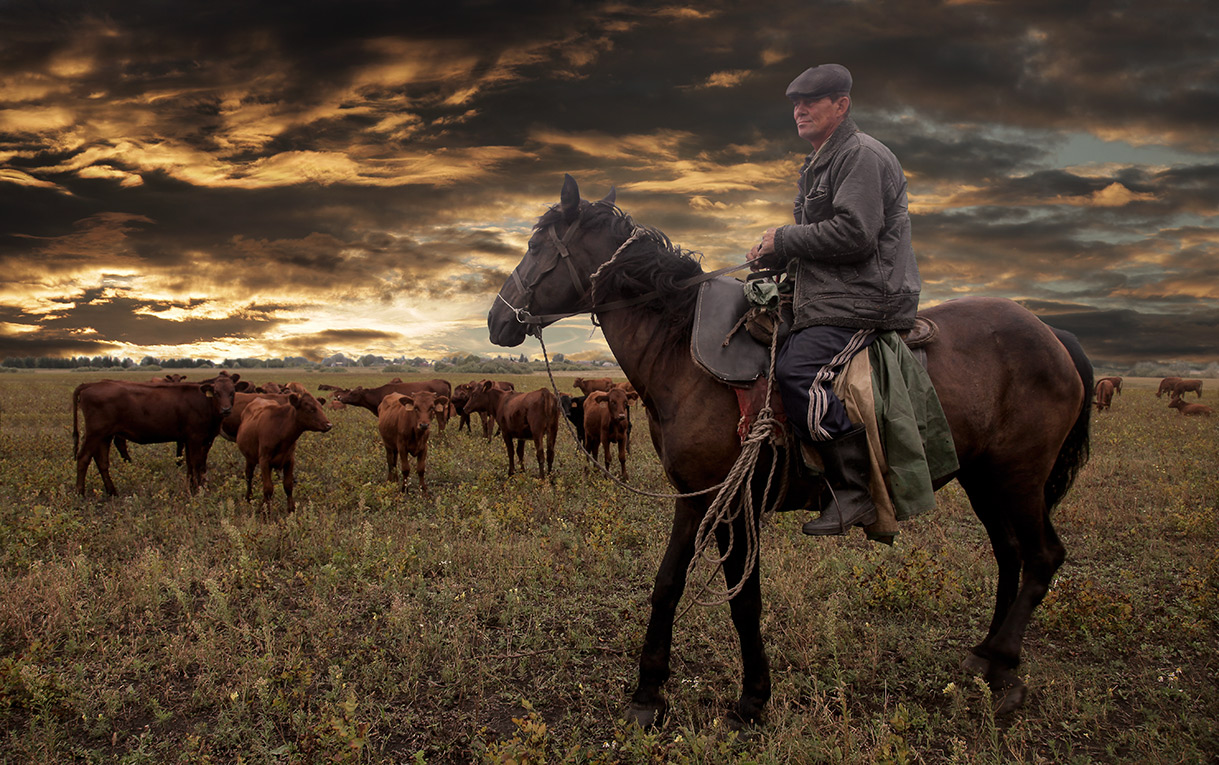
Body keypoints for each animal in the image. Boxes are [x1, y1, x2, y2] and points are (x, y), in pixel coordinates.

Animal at [74, 372, 241, 497]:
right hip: (95, 434)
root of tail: (92, 384)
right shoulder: (196, 438)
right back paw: (80, 493)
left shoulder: (192, 439)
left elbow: (190, 463)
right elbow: (196, 463)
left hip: (105, 436)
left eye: (232, 393)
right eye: (216, 393)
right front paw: (198, 489)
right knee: (83, 458)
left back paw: (112, 492)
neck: (204, 401)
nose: (226, 409)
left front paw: (192, 487)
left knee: (102, 461)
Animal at [485, 176, 1097, 726]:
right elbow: (667, 586)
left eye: (536, 247)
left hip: (1019, 477)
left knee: (1043, 556)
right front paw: (647, 696)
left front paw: (752, 700)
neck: (681, 350)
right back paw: (985, 657)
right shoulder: (696, 495)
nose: (495, 319)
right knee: (1010, 555)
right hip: (986, 479)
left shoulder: (736, 506)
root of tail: (1054, 336)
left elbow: (743, 601)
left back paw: (1006, 669)